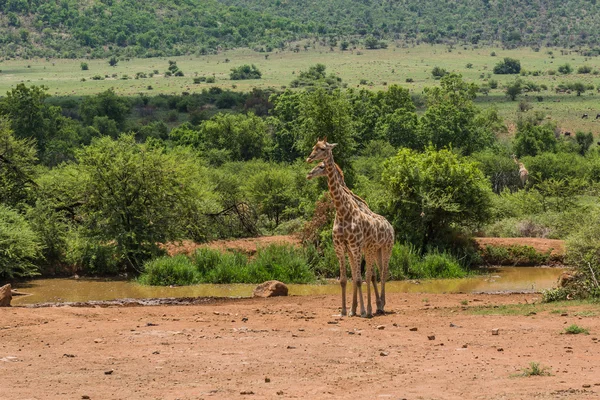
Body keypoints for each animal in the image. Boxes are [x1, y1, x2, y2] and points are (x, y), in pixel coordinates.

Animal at [308, 139, 396, 318]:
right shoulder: (342, 247)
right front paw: (347, 310)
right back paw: (376, 305)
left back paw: (379, 306)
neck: (343, 211)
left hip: (386, 247)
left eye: (322, 149)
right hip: (375, 250)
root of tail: (390, 226)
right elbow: (346, 279)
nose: (309, 160)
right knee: (375, 273)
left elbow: (359, 278)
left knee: (382, 273)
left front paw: (361, 310)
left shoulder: (356, 247)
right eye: (313, 147)